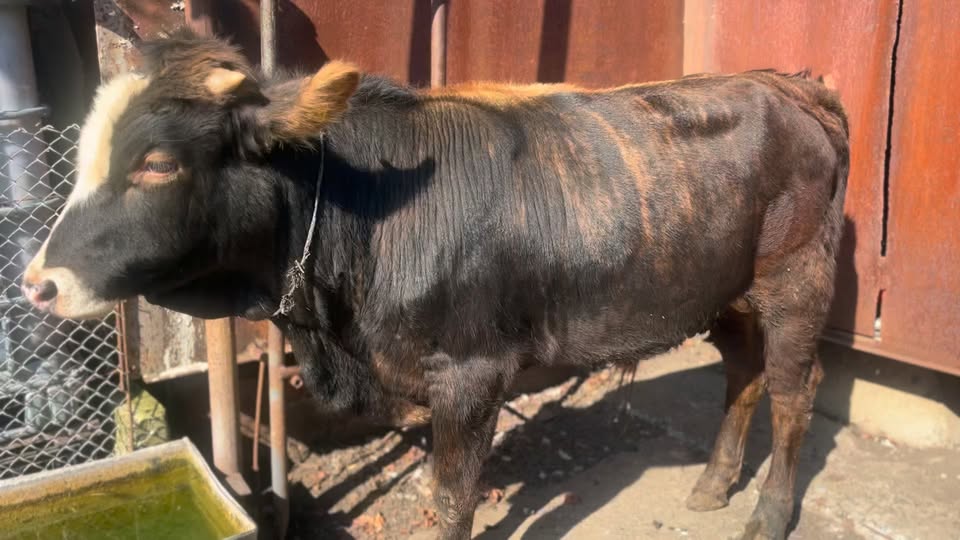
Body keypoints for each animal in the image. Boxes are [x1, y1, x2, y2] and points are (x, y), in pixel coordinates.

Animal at [21, 31, 848, 540]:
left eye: (157, 163)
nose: (38, 283)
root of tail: (784, 85)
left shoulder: (472, 373)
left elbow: (453, 494)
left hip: (798, 278)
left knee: (793, 391)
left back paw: (769, 514)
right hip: (726, 289)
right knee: (744, 376)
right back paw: (713, 484)